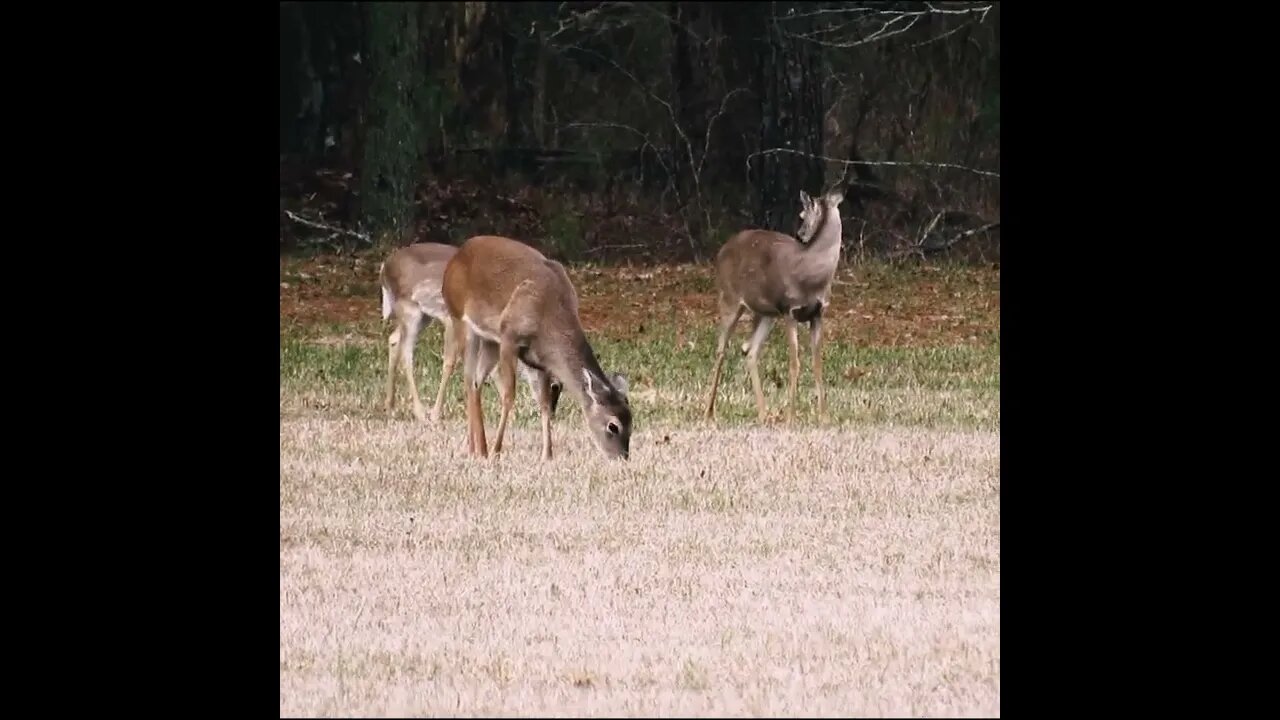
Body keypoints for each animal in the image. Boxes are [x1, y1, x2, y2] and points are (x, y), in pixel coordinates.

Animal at [380, 242, 562, 423]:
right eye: (555, 386)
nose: (552, 413)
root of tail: (384, 268)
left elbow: (491, 369)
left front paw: (511, 413)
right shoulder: (451, 319)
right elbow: (449, 363)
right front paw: (436, 413)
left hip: (422, 315)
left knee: (393, 339)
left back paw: (390, 407)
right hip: (409, 308)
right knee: (406, 354)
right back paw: (420, 412)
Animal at [442, 235, 632, 461]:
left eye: (632, 423)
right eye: (613, 426)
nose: (623, 457)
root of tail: (457, 255)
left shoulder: (540, 361)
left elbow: (544, 405)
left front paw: (547, 454)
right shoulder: (509, 337)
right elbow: (508, 396)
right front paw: (497, 450)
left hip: (489, 340)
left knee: (475, 382)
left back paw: (480, 448)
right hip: (460, 319)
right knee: (468, 377)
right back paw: (477, 449)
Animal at [703, 187, 846, 424]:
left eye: (802, 215)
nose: (800, 235)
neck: (811, 278)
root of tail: (722, 249)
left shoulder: (818, 314)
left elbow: (817, 364)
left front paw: (824, 417)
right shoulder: (789, 309)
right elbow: (795, 363)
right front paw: (790, 416)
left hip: (766, 313)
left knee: (750, 350)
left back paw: (763, 413)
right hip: (729, 298)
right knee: (721, 349)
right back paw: (708, 411)